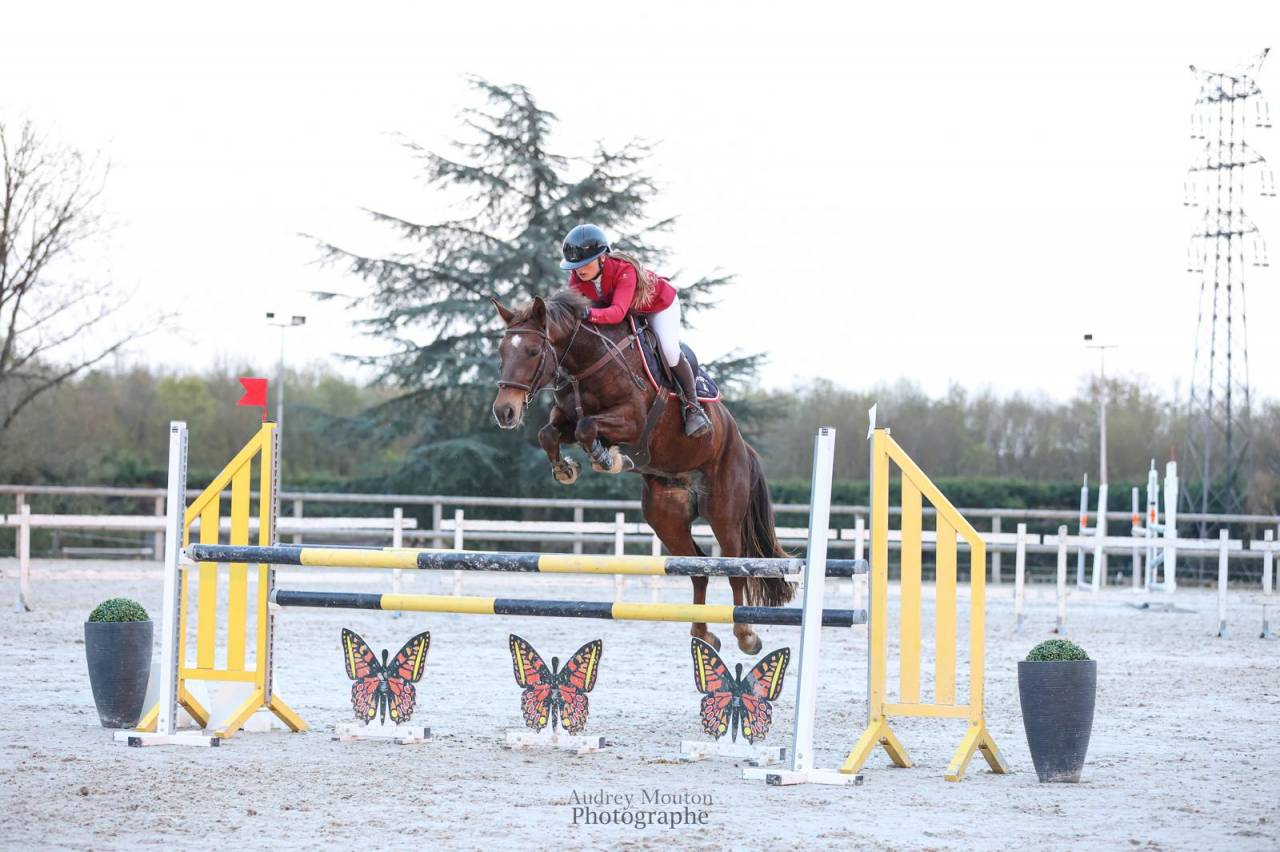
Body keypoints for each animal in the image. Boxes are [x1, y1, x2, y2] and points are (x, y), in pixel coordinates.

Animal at [490, 289, 793, 654]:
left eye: (534, 351)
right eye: (502, 352)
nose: (504, 412)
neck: (586, 362)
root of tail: (743, 447)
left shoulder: (631, 421)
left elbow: (587, 428)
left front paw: (607, 458)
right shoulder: (566, 419)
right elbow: (549, 433)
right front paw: (567, 469)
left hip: (724, 511)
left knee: (734, 566)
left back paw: (746, 634)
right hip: (666, 518)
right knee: (698, 568)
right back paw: (702, 633)